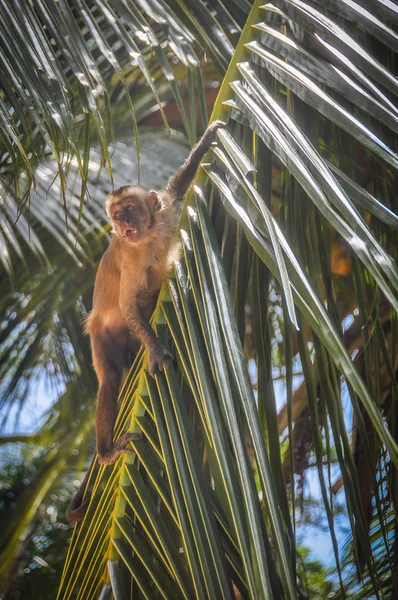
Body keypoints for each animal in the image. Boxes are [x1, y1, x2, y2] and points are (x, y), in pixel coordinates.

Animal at [65, 118, 227, 520]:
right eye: (116, 216)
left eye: (129, 210)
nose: (124, 225)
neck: (148, 235)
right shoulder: (131, 255)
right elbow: (127, 304)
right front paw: (154, 349)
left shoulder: (164, 212)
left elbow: (176, 188)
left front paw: (207, 139)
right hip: (103, 335)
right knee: (110, 380)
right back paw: (106, 451)